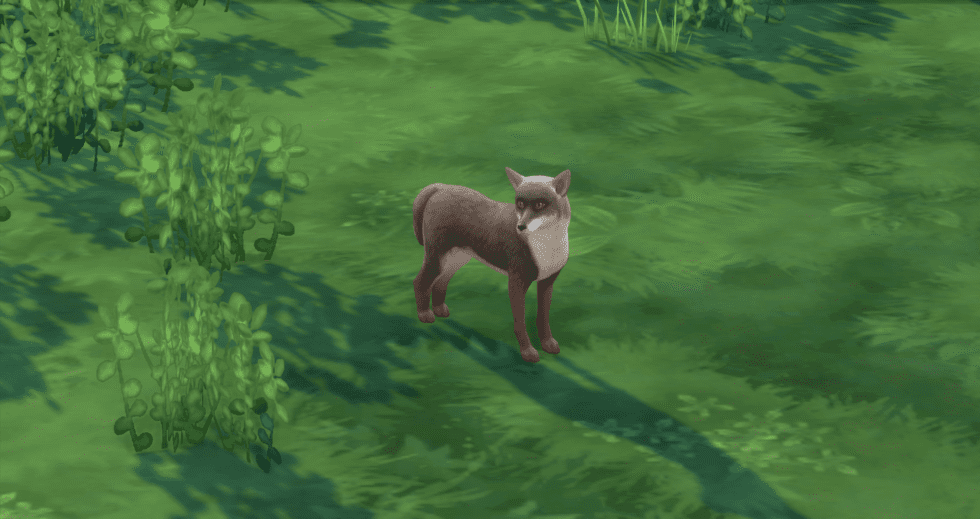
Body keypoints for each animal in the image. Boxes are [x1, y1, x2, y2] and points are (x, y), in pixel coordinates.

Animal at [412, 167, 572, 363]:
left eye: (540, 204)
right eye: (520, 203)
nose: (520, 227)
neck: (547, 244)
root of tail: (440, 187)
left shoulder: (547, 283)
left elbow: (543, 318)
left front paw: (548, 344)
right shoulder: (517, 282)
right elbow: (520, 322)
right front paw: (527, 352)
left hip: (454, 261)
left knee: (440, 282)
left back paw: (439, 310)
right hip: (437, 259)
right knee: (419, 282)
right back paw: (424, 314)